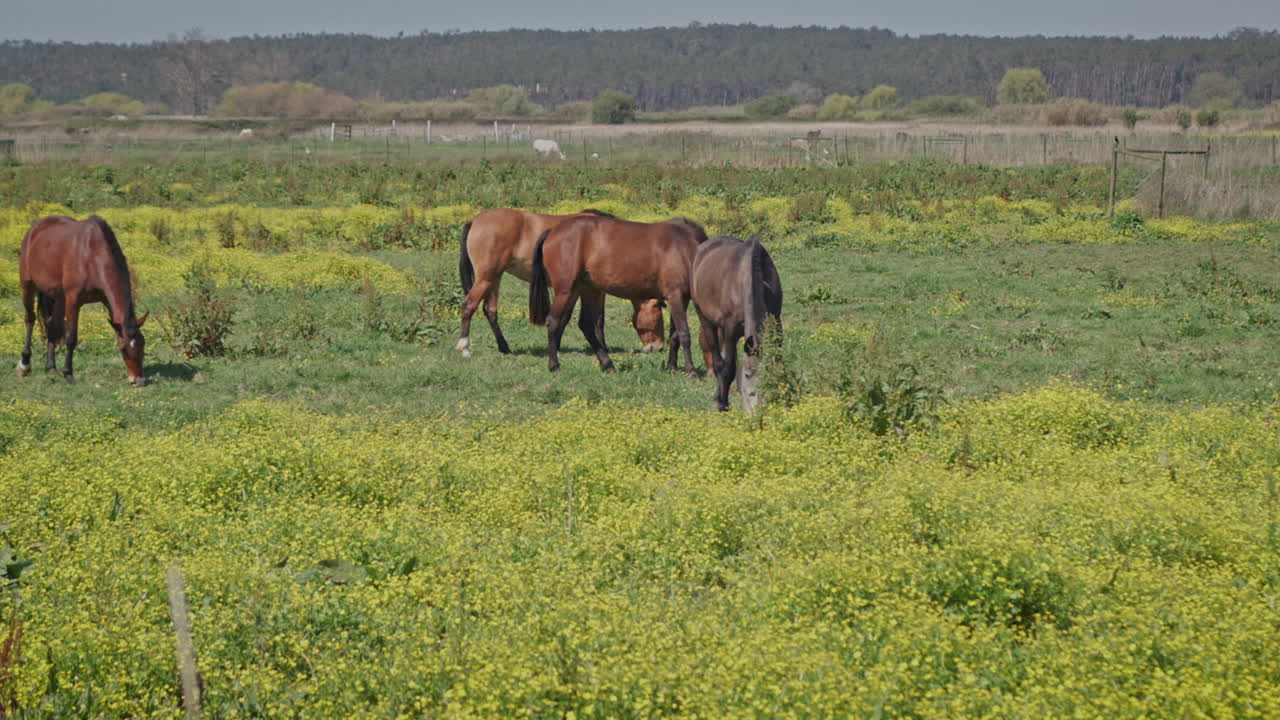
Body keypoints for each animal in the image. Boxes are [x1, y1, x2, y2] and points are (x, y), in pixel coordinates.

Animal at [17, 215, 148, 386]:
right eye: (124, 349)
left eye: (143, 344)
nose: (138, 380)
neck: (92, 256)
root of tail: (34, 229)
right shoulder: (73, 301)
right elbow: (71, 337)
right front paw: (68, 374)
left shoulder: (105, 300)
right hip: (27, 285)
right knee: (30, 319)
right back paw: (25, 365)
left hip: (59, 297)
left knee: (52, 326)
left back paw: (51, 367)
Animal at [457, 208, 665, 357]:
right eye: (660, 316)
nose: (659, 347)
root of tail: (475, 221)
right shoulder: (585, 290)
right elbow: (595, 319)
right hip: (486, 278)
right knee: (469, 306)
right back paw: (464, 347)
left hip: (494, 278)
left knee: (490, 310)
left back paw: (504, 348)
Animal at [528, 213, 707, 374]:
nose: (655, 348)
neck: (684, 246)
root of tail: (552, 231)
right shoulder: (675, 295)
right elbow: (684, 334)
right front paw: (691, 370)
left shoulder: (682, 298)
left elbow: (674, 335)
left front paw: (672, 367)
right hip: (566, 291)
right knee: (553, 322)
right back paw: (554, 366)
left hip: (587, 290)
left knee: (586, 325)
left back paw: (608, 365)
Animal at [690, 235, 783, 412]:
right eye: (747, 375)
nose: (756, 410)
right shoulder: (731, 330)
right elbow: (729, 368)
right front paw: (723, 404)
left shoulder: (776, 325)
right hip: (705, 319)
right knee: (718, 361)